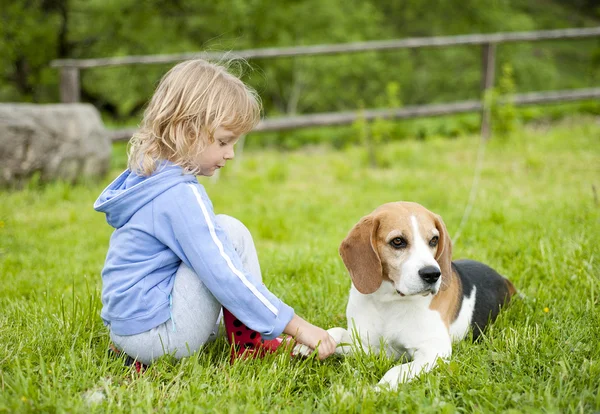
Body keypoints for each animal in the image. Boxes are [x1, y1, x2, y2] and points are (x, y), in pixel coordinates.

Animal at [328, 202, 516, 390]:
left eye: (434, 240)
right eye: (398, 241)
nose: (432, 274)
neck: (389, 302)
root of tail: (505, 279)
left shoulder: (434, 349)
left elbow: (395, 371)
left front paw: (373, 391)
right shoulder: (368, 344)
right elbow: (335, 332)